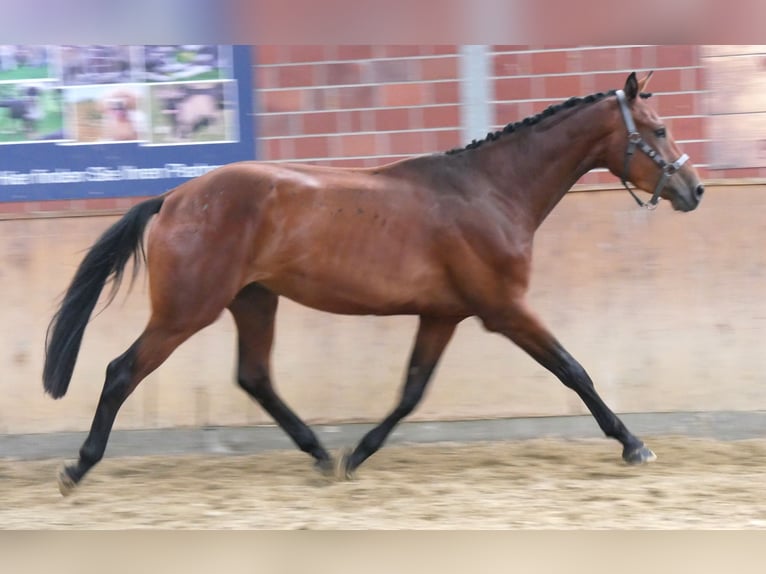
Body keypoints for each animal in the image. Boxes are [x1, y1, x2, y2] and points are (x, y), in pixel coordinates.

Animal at [40, 72, 704, 496]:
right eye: (659, 129)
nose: (694, 190)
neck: (491, 192)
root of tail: (174, 198)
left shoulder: (443, 315)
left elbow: (411, 391)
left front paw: (356, 456)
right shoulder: (505, 309)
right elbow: (574, 371)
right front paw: (634, 445)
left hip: (254, 301)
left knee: (254, 377)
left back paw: (320, 454)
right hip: (188, 310)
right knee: (122, 372)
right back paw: (76, 469)